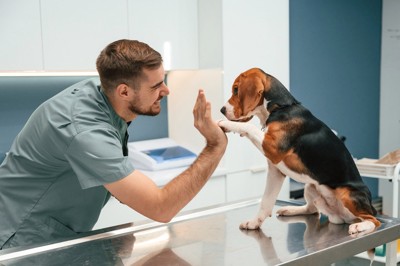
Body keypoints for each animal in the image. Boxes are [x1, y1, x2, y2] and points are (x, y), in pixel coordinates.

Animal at [220, 68, 380, 235]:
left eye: (236, 90)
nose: (222, 110)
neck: (282, 107)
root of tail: (340, 217)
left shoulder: (272, 147)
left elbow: (249, 127)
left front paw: (226, 124)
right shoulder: (275, 171)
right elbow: (266, 201)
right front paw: (254, 223)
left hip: (347, 193)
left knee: (374, 220)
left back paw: (361, 226)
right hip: (311, 186)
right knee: (313, 210)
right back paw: (290, 209)